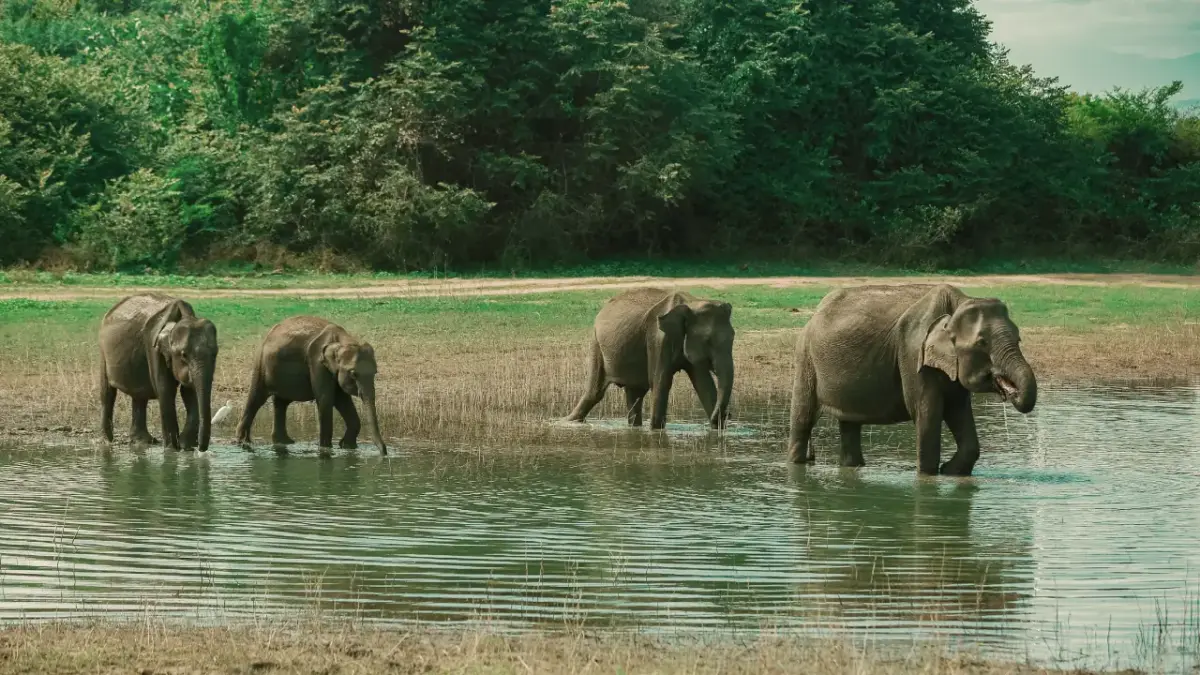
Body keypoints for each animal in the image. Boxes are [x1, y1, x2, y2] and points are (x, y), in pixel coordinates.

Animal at [98, 293, 219, 452]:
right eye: (184, 355)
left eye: (215, 354)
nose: (200, 447)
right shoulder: (153, 347)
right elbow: (166, 390)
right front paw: (172, 449)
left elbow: (189, 392)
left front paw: (185, 446)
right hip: (103, 352)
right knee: (107, 393)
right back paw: (106, 441)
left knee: (139, 396)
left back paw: (142, 442)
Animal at [235, 316, 387, 455]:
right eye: (354, 374)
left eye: (375, 372)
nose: (384, 453)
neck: (342, 341)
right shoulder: (317, 363)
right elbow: (326, 400)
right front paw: (326, 449)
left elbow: (342, 399)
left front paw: (347, 446)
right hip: (260, 365)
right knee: (256, 399)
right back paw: (243, 443)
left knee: (281, 402)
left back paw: (284, 442)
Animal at [565, 288, 735, 430]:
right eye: (707, 340)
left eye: (733, 337)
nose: (727, 415)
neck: (692, 303)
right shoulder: (657, 339)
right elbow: (660, 382)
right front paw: (656, 431)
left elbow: (703, 384)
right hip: (596, 343)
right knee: (594, 393)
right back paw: (569, 422)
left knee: (634, 394)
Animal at [788, 284, 1037, 476]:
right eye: (982, 343)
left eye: (1019, 339)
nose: (1010, 390)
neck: (959, 304)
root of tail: (815, 313)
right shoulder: (912, 353)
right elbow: (926, 413)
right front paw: (928, 477)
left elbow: (958, 410)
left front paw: (949, 471)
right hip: (805, 358)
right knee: (803, 417)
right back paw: (797, 465)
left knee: (849, 423)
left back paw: (852, 467)